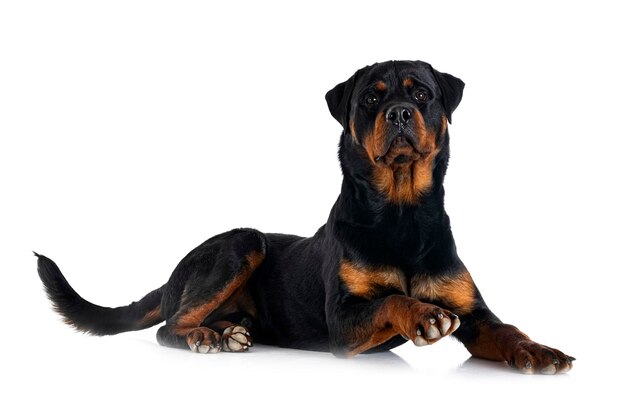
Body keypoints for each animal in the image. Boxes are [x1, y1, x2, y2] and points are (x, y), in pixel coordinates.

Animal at [34, 59, 572, 376]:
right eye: (371, 98)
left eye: (421, 94)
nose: (399, 112)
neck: (401, 214)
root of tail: (171, 276)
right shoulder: (345, 320)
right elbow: (391, 299)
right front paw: (423, 315)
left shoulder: (475, 314)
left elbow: (506, 330)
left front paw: (540, 350)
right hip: (242, 242)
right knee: (169, 326)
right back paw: (207, 337)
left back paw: (230, 332)